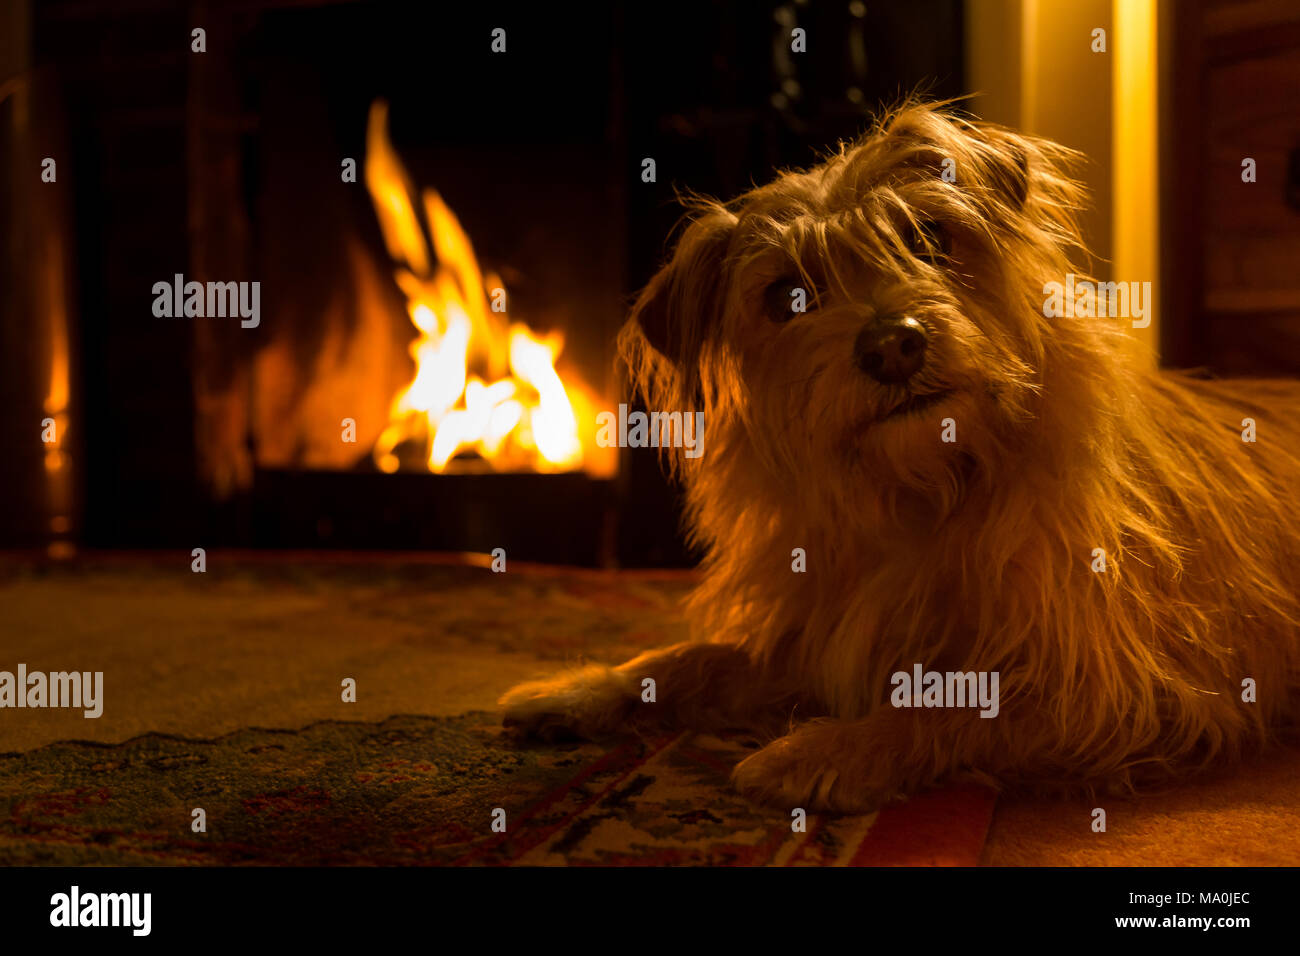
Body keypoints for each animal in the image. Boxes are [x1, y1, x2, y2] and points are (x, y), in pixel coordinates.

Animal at [496, 100, 1300, 811]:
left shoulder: (1110, 690)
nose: (892, 345)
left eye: (928, 237)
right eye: (788, 295)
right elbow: (688, 658)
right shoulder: (810, 636)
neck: (926, 490)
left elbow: (948, 705)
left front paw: (823, 749)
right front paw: (586, 687)